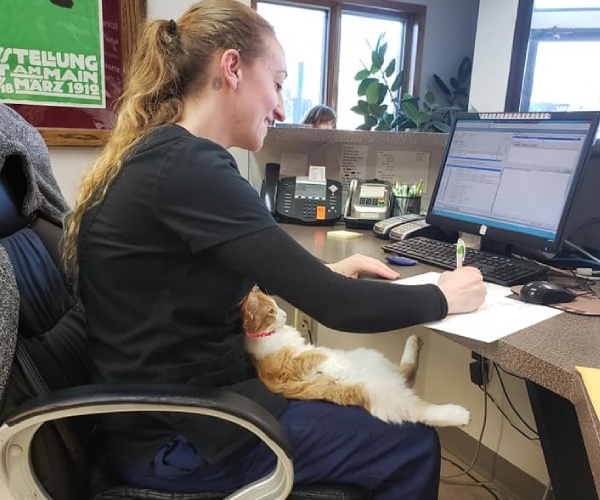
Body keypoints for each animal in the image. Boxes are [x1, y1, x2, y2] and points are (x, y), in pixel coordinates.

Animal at [241, 288, 472, 428]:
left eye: (276, 305)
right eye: (271, 312)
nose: (284, 314)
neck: (271, 334)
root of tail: (392, 380)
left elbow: (317, 352)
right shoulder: (287, 369)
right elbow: (315, 356)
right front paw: (338, 368)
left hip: (374, 358)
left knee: (407, 371)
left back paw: (414, 341)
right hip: (386, 395)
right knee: (423, 411)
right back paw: (461, 415)